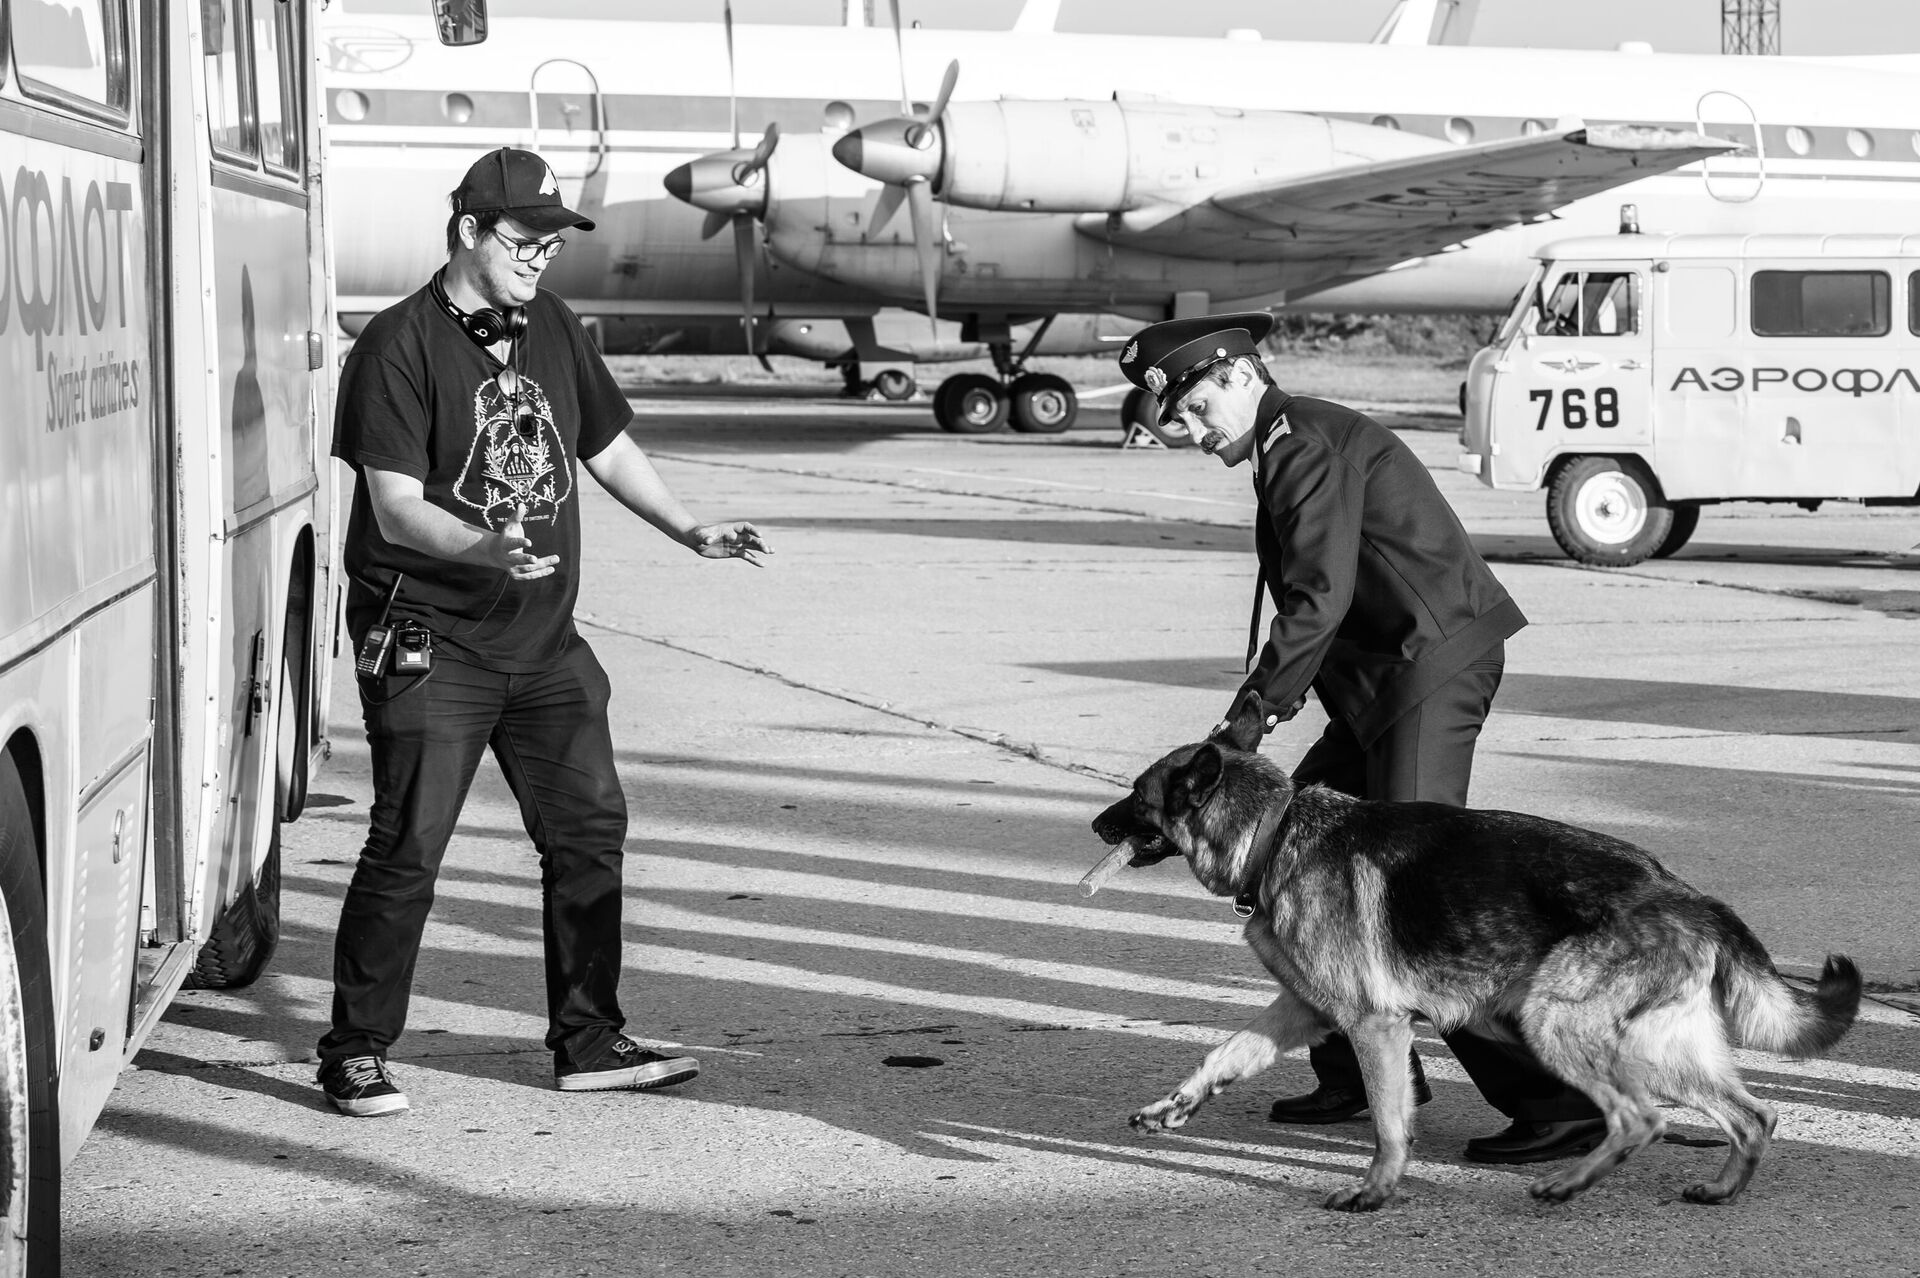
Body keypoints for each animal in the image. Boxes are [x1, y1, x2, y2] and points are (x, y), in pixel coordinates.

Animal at [1098, 725, 1858, 1205]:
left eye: (1135, 794)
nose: (1099, 826)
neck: (1274, 831)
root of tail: (1688, 895)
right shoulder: (1306, 1010)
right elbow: (1223, 1053)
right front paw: (1174, 1107)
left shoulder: (1374, 1025)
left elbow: (1388, 1122)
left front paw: (1376, 1192)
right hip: (1659, 1047)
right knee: (1753, 1116)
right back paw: (1720, 1189)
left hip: (1552, 1024)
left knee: (1640, 1117)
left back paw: (1568, 1183)